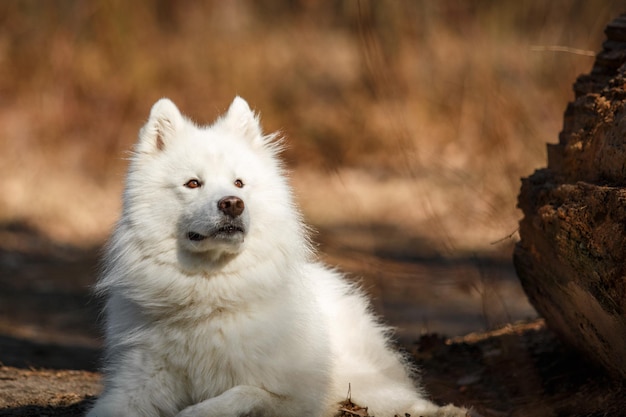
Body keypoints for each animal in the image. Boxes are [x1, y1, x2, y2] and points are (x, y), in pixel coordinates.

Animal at [88, 96, 468, 416]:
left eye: (239, 184)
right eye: (193, 184)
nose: (232, 204)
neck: (208, 294)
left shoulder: (295, 396)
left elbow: (240, 394)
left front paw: (196, 411)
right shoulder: (132, 389)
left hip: (362, 380)